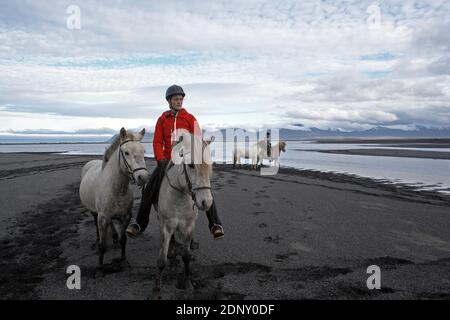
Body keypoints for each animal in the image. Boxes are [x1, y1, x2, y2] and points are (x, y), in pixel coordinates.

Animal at [79, 127, 149, 276]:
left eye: (143, 151)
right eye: (126, 152)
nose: (143, 177)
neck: (117, 189)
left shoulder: (125, 217)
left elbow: (123, 240)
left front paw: (123, 261)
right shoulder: (103, 218)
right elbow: (102, 245)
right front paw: (100, 268)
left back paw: (115, 239)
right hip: (95, 213)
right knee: (96, 225)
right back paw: (97, 239)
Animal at [152, 129, 214, 298]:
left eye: (210, 166)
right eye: (191, 165)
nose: (206, 202)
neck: (179, 195)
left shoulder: (188, 226)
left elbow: (186, 256)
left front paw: (188, 283)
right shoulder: (166, 227)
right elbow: (161, 260)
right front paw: (157, 289)